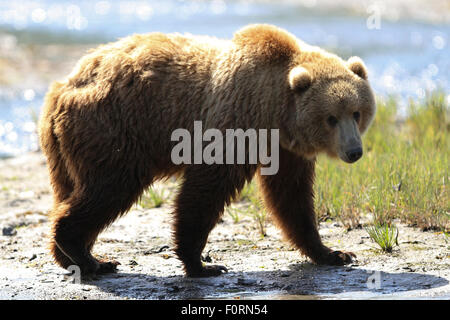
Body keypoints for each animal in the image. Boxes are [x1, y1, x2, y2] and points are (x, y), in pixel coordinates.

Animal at [39, 23, 376, 278]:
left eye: (356, 112)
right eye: (331, 118)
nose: (354, 151)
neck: (275, 110)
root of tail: (63, 86)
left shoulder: (284, 150)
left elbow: (292, 199)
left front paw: (334, 252)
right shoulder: (235, 123)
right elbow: (206, 190)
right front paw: (201, 264)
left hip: (65, 151)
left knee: (70, 190)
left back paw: (74, 257)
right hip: (114, 129)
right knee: (109, 189)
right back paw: (89, 257)